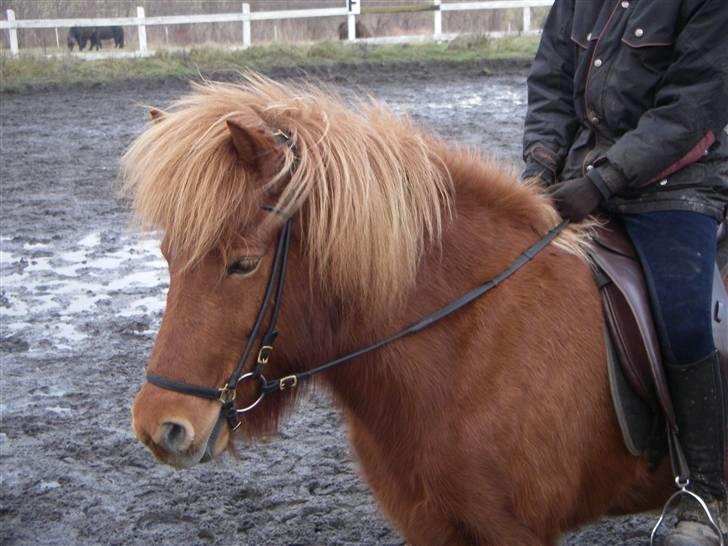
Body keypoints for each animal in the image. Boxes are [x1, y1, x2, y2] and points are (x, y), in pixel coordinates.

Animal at [122, 75, 680, 544]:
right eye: (167, 257)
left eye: (243, 264)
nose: (160, 427)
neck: (469, 348)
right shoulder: (429, 525)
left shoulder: (515, 531)